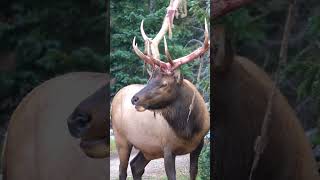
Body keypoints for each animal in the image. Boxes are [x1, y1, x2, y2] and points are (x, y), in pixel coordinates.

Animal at [110, 0, 210, 179]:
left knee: (136, 166)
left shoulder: (199, 144)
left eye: (164, 83)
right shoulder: (167, 148)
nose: (135, 98)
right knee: (122, 170)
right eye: (149, 79)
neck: (188, 130)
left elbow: (193, 172)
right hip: (121, 138)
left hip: (148, 149)